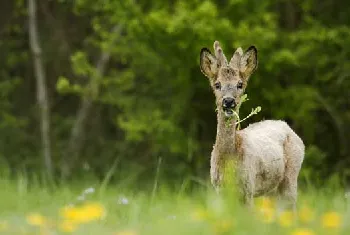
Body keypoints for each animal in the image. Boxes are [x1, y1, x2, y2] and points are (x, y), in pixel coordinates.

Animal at [200, 40, 304, 209]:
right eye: (217, 84)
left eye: (240, 84)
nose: (228, 101)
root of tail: (287, 127)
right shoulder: (219, 189)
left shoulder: (248, 187)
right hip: (271, 190)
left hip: (291, 175)